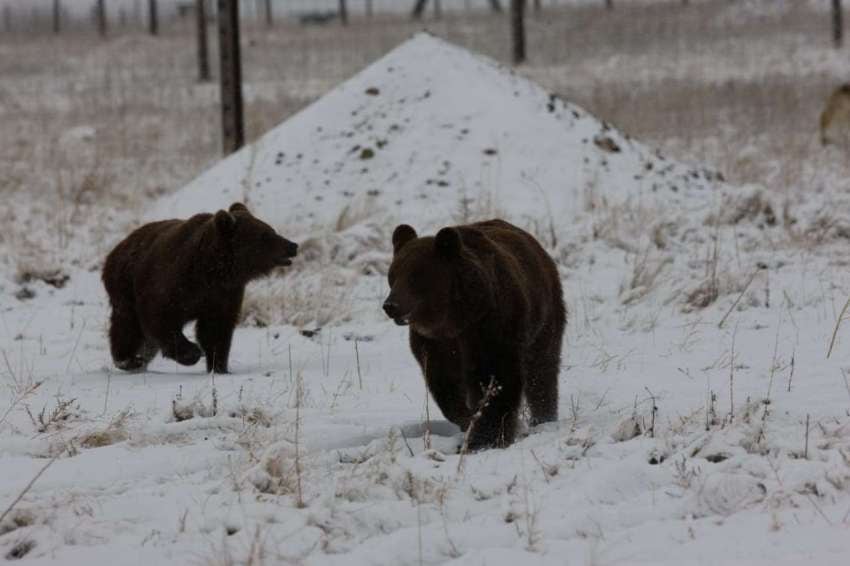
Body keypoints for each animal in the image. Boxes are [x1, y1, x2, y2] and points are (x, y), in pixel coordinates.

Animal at [103, 204, 298, 378]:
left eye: (271, 229)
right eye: (265, 235)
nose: (293, 245)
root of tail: (117, 248)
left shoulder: (224, 294)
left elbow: (215, 329)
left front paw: (219, 367)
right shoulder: (171, 284)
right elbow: (159, 318)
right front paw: (192, 353)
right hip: (125, 285)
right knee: (127, 325)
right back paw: (128, 359)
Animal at [382, 221, 564, 452]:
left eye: (416, 275)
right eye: (393, 274)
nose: (391, 305)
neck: (454, 319)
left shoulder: (490, 328)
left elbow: (496, 380)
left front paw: (486, 438)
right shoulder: (434, 344)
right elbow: (446, 386)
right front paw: (467, 420)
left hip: (543, 318)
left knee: (542, 370)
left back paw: (543, 417)